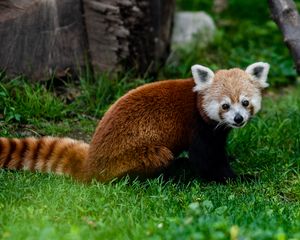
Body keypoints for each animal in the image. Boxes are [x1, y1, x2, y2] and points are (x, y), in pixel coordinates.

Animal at [0, 62, 270, 182]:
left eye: (245, 102)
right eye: (225, 106)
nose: (238, 119)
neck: (197, 101)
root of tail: (91, 161)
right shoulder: (199, 129)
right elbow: (206, 161)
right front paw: (239, 178)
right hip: (138, 155)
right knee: (156, 159)